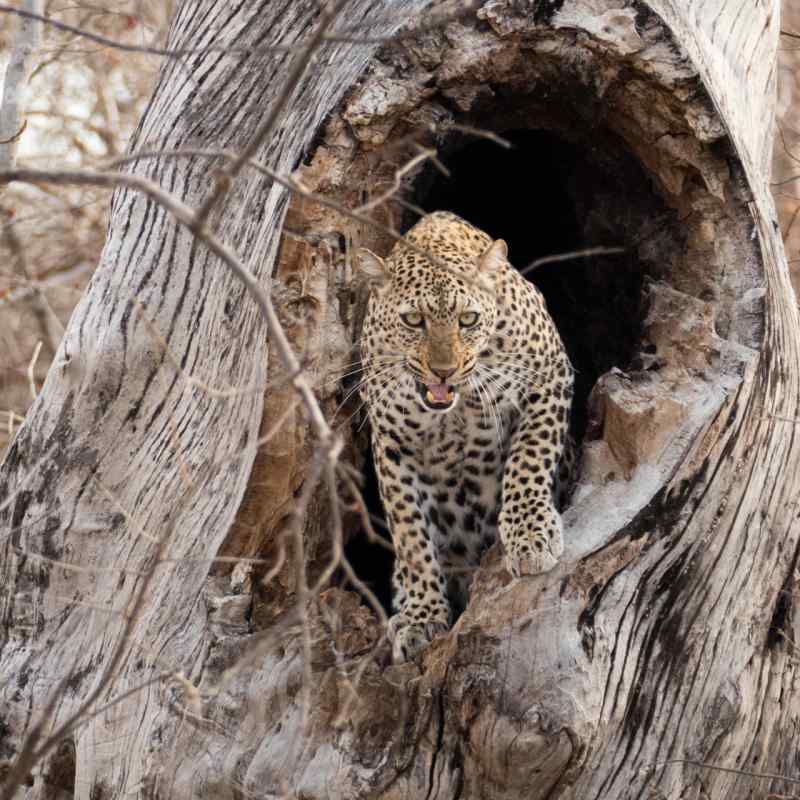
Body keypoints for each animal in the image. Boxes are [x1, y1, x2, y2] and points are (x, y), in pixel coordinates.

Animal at [356, 211, 574, 662]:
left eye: (468, 320)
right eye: (413, 320)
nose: (444, 371)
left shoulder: (550, 376)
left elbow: (528, 458)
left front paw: (530, 535)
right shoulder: (392, 444)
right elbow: (410, 534)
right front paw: (421, 616)